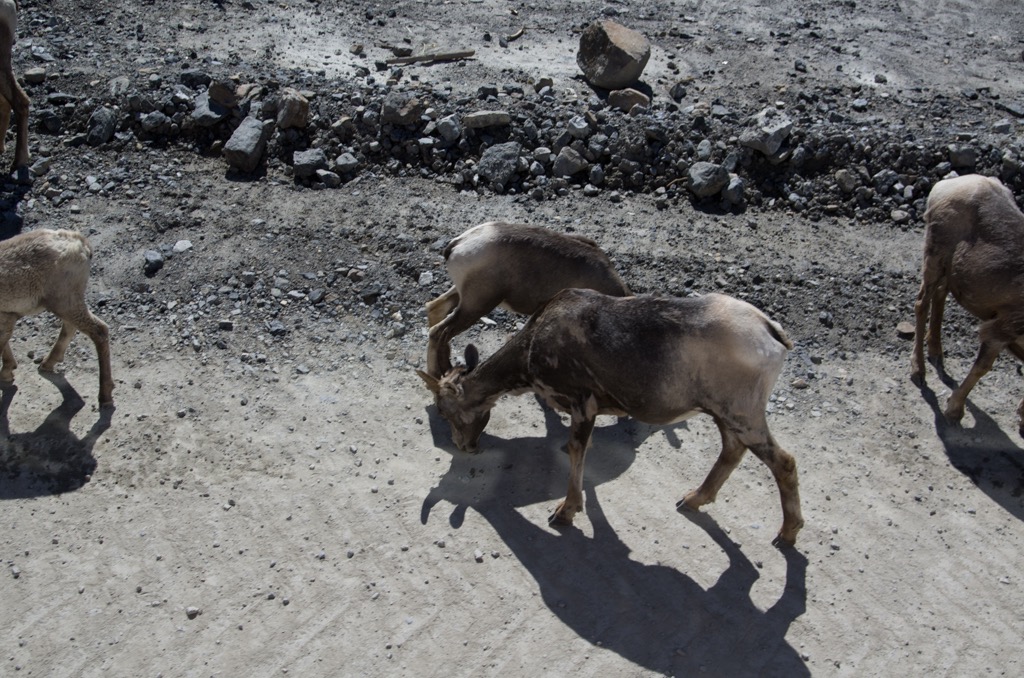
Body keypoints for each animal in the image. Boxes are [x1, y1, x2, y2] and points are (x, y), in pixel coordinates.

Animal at [1, 228, 113, 409]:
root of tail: (82, 245)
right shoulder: (7, 317)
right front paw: (8, 372)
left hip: (65, 302)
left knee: (99, 330)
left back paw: (105, 398)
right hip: (67, 304)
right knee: (71, 327)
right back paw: (47, 364)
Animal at [415, 290, 798, 548]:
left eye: (445, 410)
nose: (465, 447)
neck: (530, 356)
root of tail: (773, 334)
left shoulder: (582, 402)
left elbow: (575, 451)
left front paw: (563, 513)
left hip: (742, 411)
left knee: (784, 461)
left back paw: (787, 534)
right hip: (725, 412)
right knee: (732, 450)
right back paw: (692, 499)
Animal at [425, 224, 630, 378]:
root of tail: (458, 244)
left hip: (464, 297)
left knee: (435, 308)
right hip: (476, 305)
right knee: (437, 331)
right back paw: (438, 373)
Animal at [917, 175, 1024, 438]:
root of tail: (946, 185)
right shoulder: (1000, 330)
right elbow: (981, 368)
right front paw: (953, 413)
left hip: (951, 272)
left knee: (940, 296)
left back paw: (936, 353)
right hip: (934, 258)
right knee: (922, 303)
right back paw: (919, 372)